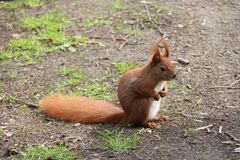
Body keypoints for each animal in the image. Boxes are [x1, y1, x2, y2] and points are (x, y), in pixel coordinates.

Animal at [39, 37, 176, 127]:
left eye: (172, 63)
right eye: (162, 68)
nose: (174, 76)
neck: (156, 78)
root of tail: (128, 116)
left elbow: (164, 87)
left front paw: (164, 91)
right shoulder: (142, 81)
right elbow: (140, 89)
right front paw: (156, 95)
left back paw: (158, 117)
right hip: (141, 105)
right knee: (138, 122)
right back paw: (148, 124)